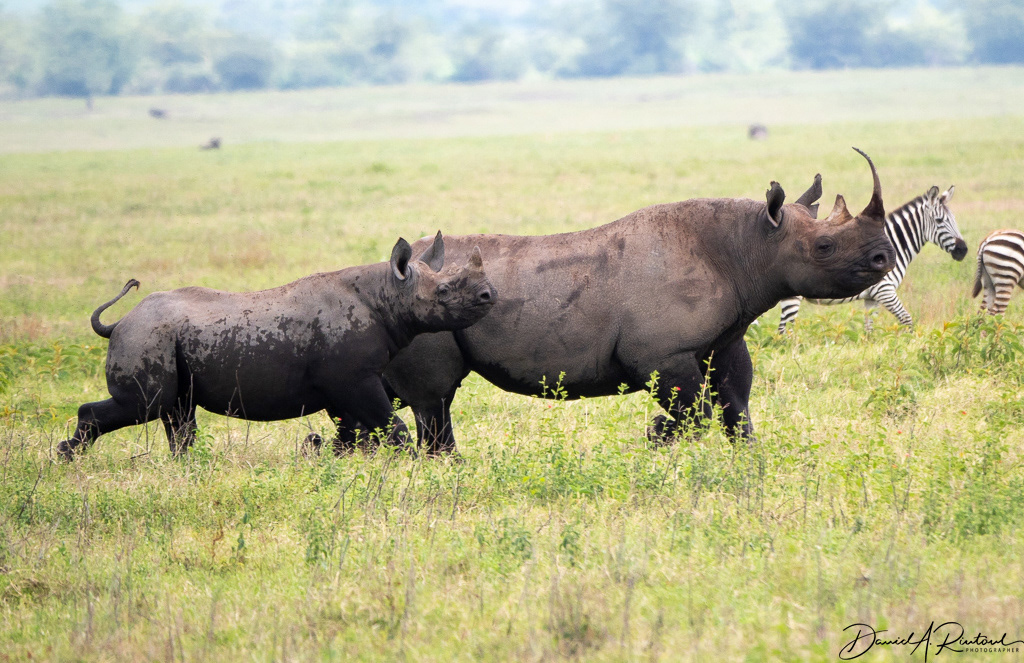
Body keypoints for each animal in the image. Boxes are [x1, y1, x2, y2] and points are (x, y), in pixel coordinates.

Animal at [57, 233, 495, 460]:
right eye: (443, 291)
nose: (490, 296)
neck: (389, 290)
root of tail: (119, 323)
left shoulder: (344, 385)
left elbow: (353, 433)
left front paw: (325, 458)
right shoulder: (353, 378)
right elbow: (392, 427)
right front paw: (410, 464)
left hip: (160, 336)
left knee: (177, 412)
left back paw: (189, 468)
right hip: (147, 335)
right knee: (147, 405)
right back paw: (67, 457)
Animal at [379, 148, 896, 454]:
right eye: (824, 247)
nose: (884, 256)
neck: (750, 245)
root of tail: (398, 277)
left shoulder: (725, 341)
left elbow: (737, 410)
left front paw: (747, 467)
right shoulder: (659, 355)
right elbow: (697, 415)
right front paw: (657, 434)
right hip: (429, 316)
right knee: (434, 402)